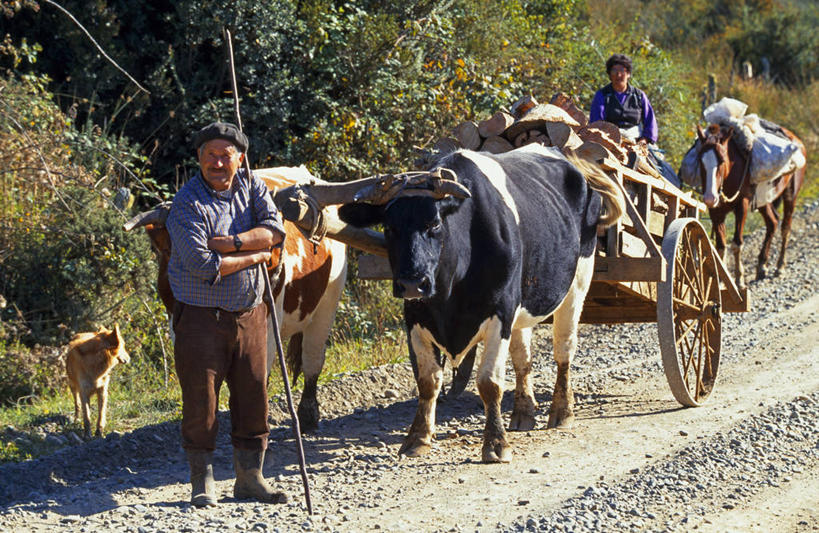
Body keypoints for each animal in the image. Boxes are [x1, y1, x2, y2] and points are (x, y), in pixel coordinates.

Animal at [700, 122, 808, 288]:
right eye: (700, 161)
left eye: (722, 161)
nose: (710, 198)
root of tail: (797, 141)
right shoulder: (716, 212)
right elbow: (721, 247)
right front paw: (721, 281)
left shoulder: (742, 206)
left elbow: (737, 244)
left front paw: (739, 280)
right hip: (763, 200)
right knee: (772, 222)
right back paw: (762, 266)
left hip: (791, 194)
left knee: (785, 227)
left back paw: (780, 266)